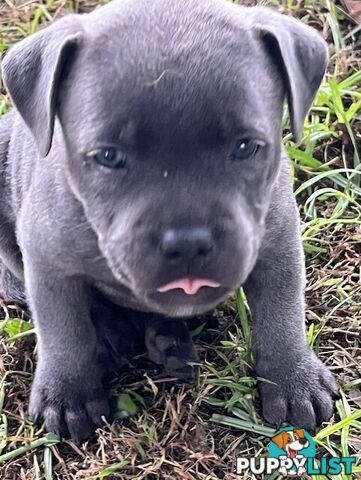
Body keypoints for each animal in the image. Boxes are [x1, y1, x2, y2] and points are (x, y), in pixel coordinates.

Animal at [0, 0, 338, 442]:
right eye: (108, 156)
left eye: (247, 147)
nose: (188, 241)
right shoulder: (47, 261)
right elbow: (63, 332)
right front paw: (67, 395)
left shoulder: (278, 244)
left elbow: (282, 314)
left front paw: (294, 379)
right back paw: (114, 333)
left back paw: (168, 342)